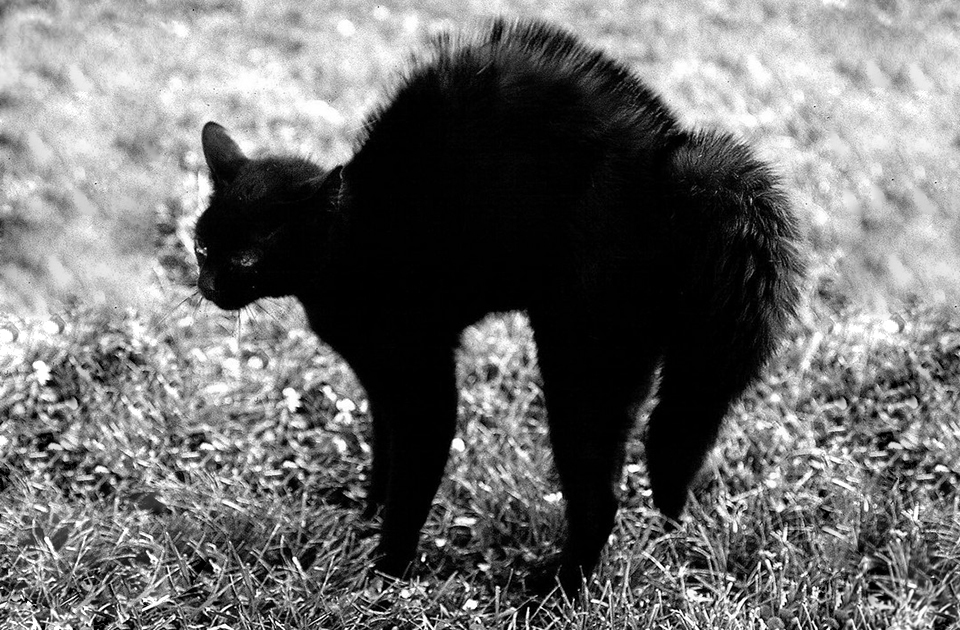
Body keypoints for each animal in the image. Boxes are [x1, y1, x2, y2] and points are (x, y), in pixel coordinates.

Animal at [194, 19, 803, 594]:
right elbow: (384, 451)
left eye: (245, 259)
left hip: (581, 361)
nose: (207, 285)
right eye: (201, 246)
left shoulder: (421, 379)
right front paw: (366, 514)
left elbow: (412, 478)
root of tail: (671, 161)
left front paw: (385, 572)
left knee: (600, 500)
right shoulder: (376, 375)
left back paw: (555, 592)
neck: (349, 241)